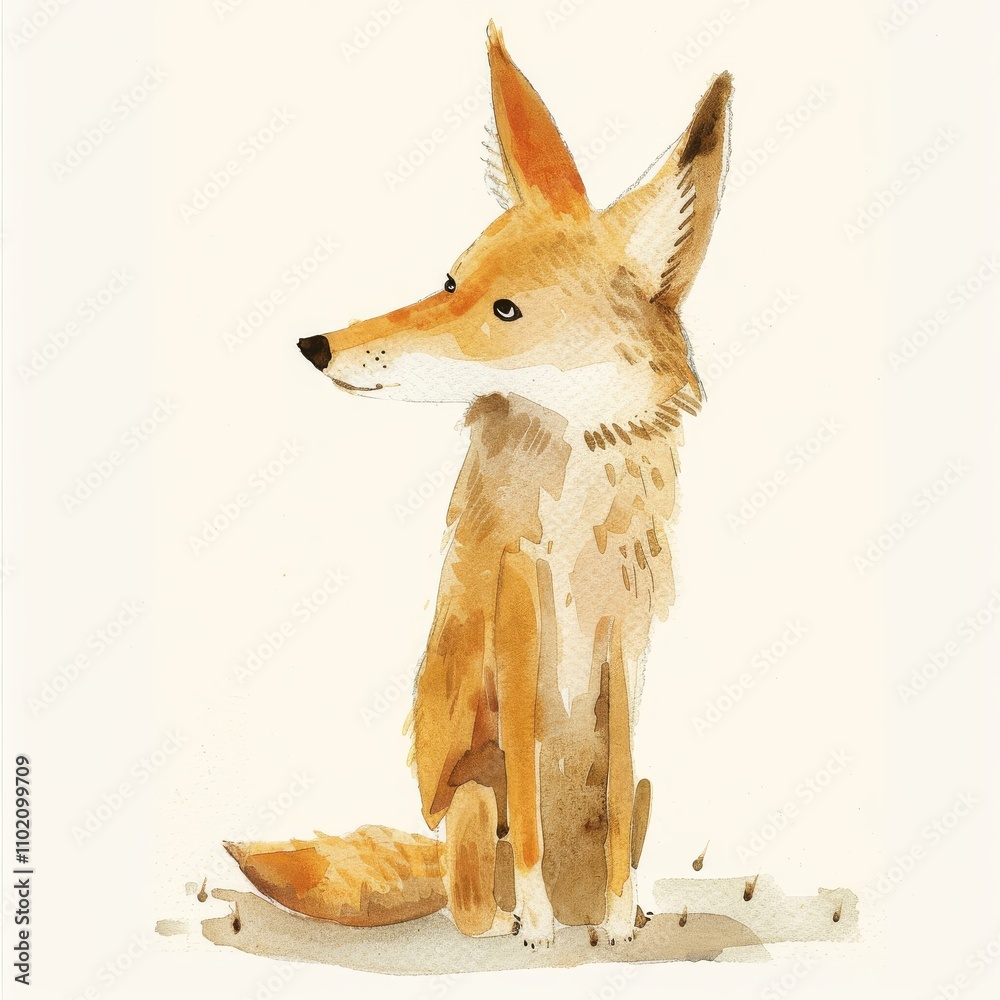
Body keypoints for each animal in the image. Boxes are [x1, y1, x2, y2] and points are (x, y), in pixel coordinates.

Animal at [225, 22, 732, 951]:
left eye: (506, 312)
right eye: (450, 282)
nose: (316, 345)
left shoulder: (626, 634)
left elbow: (614, 799)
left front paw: (617, 921)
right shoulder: (516, 608)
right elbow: (525, 802)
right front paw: (535, 925)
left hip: (647, 790)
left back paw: (612, 907)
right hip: (463, 800)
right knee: (462, 893)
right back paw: (503, 918)